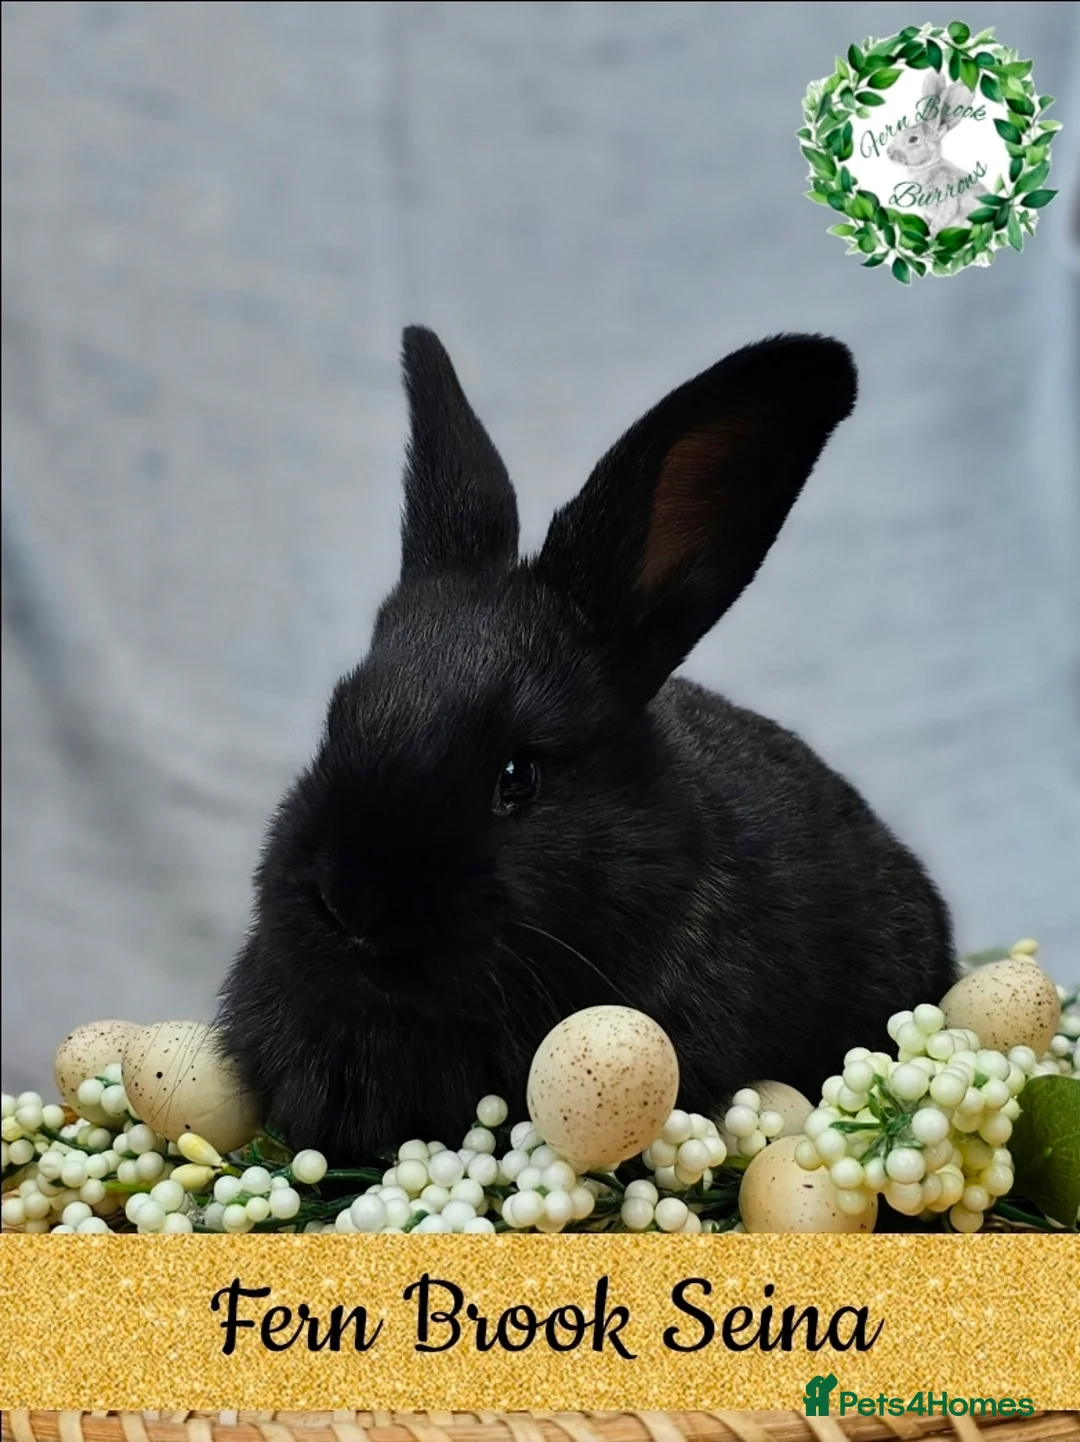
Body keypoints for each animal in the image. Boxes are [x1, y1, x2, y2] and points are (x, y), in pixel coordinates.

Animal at [886, 69, 985, 234]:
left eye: (913, 139)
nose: (889, 152)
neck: (928, 167)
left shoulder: (946, 194)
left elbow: (942, 218)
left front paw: (933, 234)